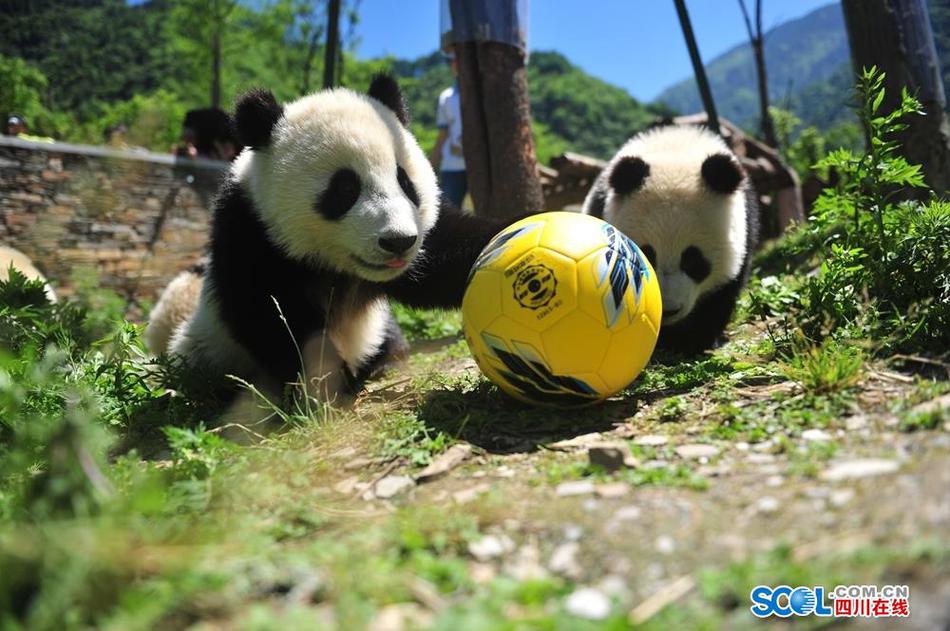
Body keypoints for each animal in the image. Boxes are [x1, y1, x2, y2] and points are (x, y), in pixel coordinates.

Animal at [171, 74, 512, 400]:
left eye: (405, 182)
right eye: (346, 189)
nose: (398, 241)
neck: (336, 265)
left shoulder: (424, 242)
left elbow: (445, 260)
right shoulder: (249, 229)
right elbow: (269, 314)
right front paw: (325, 381)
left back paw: (384, 362)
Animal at [584, 126, 764, 356]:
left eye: (693, 260)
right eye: (646, 255)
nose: (669, 310)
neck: (675, 147)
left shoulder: (745, 230)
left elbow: (722, 292)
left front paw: (695, 340)